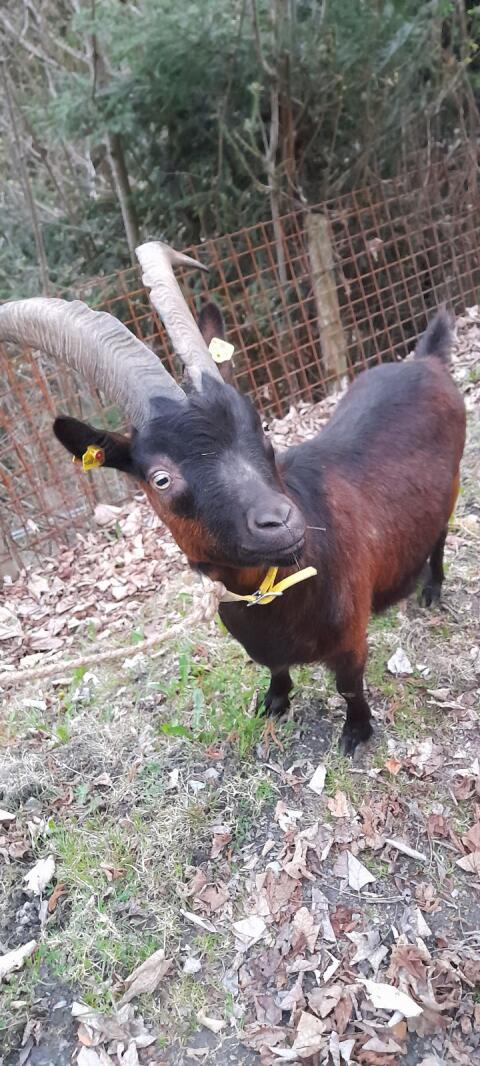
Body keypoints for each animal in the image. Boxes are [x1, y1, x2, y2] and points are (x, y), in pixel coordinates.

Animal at [0, 243, 466, 754]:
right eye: (160, 479)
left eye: (260, 425)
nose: (281, 522)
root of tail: (426, 361)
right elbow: (276, 668)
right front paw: (274, 702)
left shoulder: (350, 634)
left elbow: (349, 684)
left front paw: (356, 734)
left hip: (452, 483)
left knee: (440, 535)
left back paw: (431, 590)